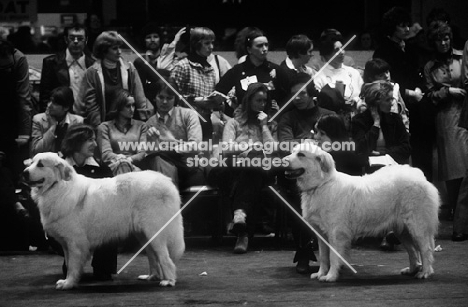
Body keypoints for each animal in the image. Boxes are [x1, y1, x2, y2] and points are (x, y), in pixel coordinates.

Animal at [23, 154, 185, 292]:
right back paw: (152, 276)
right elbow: (68, 264)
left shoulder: (75, 243)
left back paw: (169, 281)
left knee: (165, 258)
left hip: (155, 233)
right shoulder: (65, 244)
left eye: (41, 164)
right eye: (31, 162)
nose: (24, 172)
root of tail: (166, 181)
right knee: (154, 257)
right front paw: (68, 281)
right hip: (144, 236)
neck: (58, 187)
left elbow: (73, 266)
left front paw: (68, 283)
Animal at [284, 144, 440, 284]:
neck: (321, 184)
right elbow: (323, 257)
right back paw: (412, 270)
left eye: (301, 155)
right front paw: (320, 274)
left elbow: (333, 257)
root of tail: (419, 176)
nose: (283, 160)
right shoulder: (320, 234)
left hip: (417, 227)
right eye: (292, 151)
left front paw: (331, 276)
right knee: (413, 251)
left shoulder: (336, 234)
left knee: (425, 249)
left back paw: (425, 273)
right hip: (402, 230)